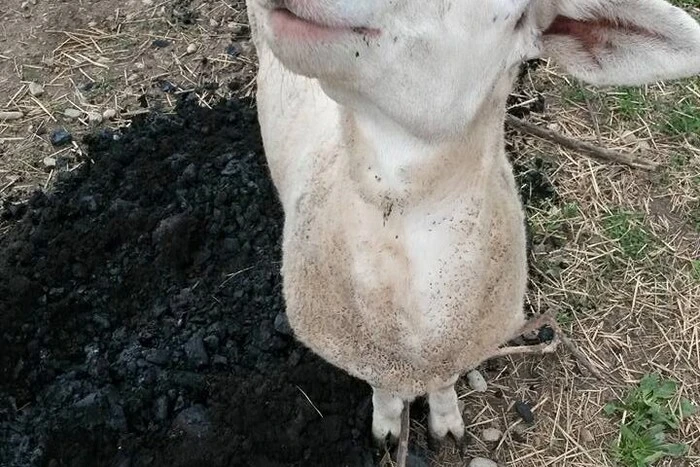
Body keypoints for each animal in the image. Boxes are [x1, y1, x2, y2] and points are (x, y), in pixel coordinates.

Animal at [245, 0, 700, 447]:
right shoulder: (367, 358)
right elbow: (384, 391)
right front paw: (387, 429)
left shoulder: (459, 350)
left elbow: (445, 385)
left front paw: (446, 424)